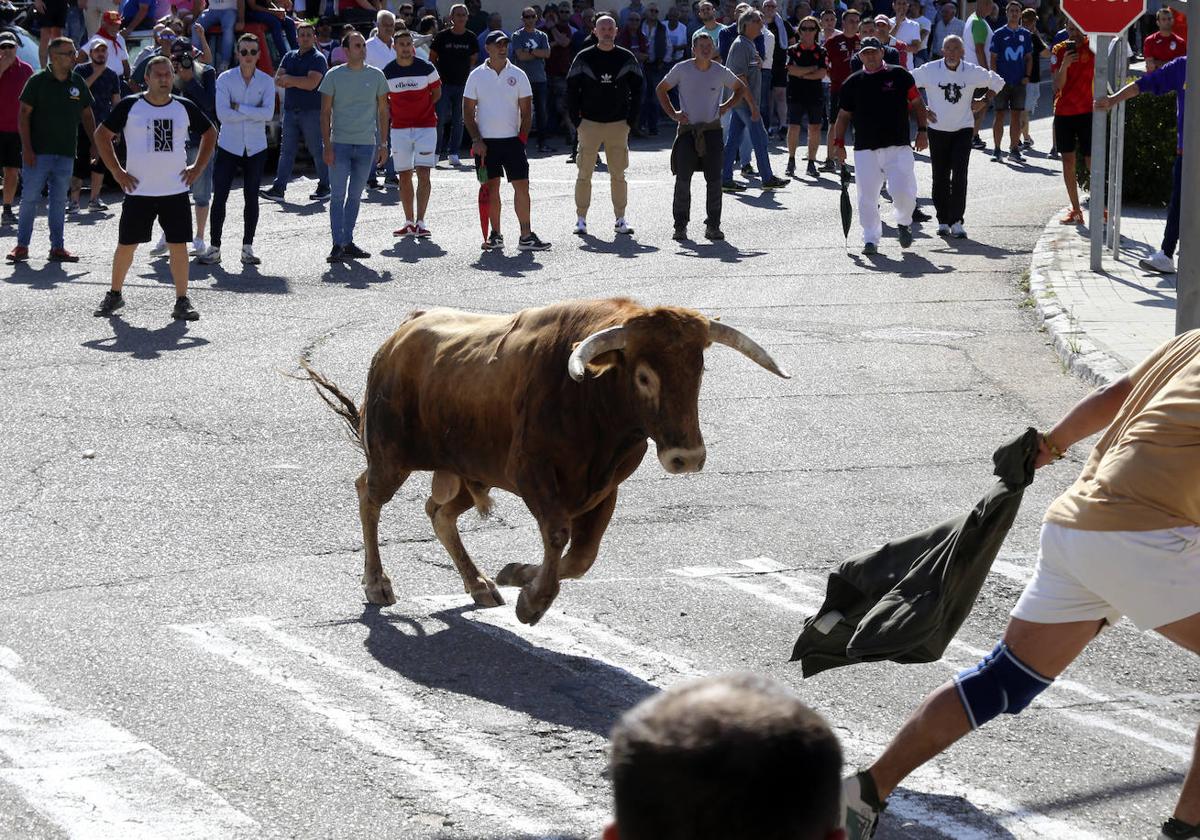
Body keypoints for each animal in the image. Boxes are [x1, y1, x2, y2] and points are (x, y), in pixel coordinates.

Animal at [300, 295, 787, 624]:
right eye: (645, 376)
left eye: (699, 369)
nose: (687, 457)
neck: (592, 405)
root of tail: (404, 330)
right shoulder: (533, 476)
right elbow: (557, 536)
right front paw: (533, 600)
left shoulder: (604, 489)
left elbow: (583, 556)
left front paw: (517, 575)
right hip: (391, 457)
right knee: (368, 496)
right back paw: (377, 583)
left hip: (469, 469)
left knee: (439, 513)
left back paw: (479, 583)